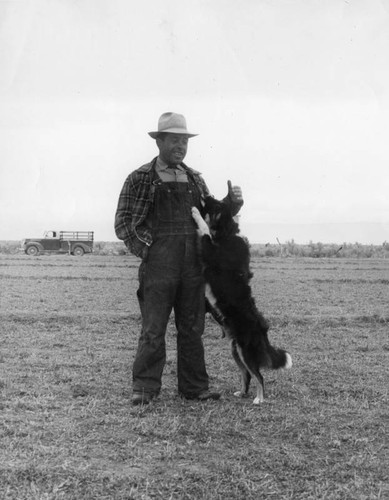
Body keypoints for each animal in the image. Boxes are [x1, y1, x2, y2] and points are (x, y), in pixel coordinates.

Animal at [191, 197, 292, 404]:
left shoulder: (210, 250)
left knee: (259, 376)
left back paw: (259, 399)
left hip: (245, 352)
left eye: (217, 205)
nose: (206, 195)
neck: (226, 235)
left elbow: (204, 228)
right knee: (247, 375)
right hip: (236, 351)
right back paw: (243, 392)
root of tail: (263, 329)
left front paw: (196, 213)